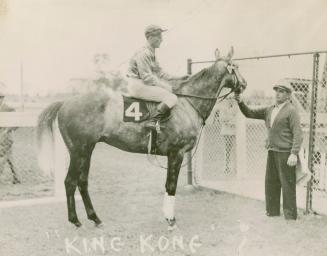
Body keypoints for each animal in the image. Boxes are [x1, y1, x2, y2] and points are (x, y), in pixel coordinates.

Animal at [36, 47, 246, 229]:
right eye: (235, 66)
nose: (244, 84)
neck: (187, 103)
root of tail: (66, 102)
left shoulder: (173, 155)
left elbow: (168, 185)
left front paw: (167, 216)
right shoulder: (176, 153)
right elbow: (171, 186)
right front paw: (171, 220)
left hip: (86, 151)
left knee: (82, 182)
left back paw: (94, 218)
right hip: (79, 150)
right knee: (70, 182)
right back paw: (75, 220)